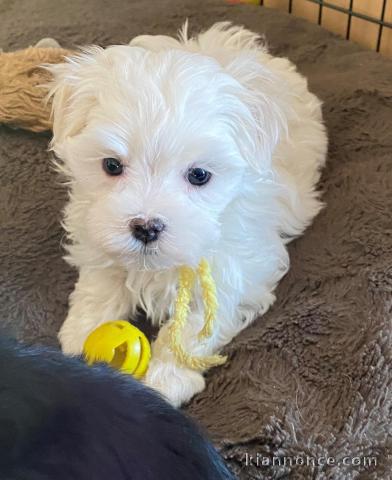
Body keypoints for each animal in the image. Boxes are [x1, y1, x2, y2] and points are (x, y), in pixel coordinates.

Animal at [49, 22, 328, 404]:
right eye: (111, 165)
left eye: (199, 175)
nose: (146, 227)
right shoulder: (95, 229)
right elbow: (101, 281)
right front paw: (81, 331)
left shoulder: (236, 267)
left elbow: (197, 324)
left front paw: (168, 378)